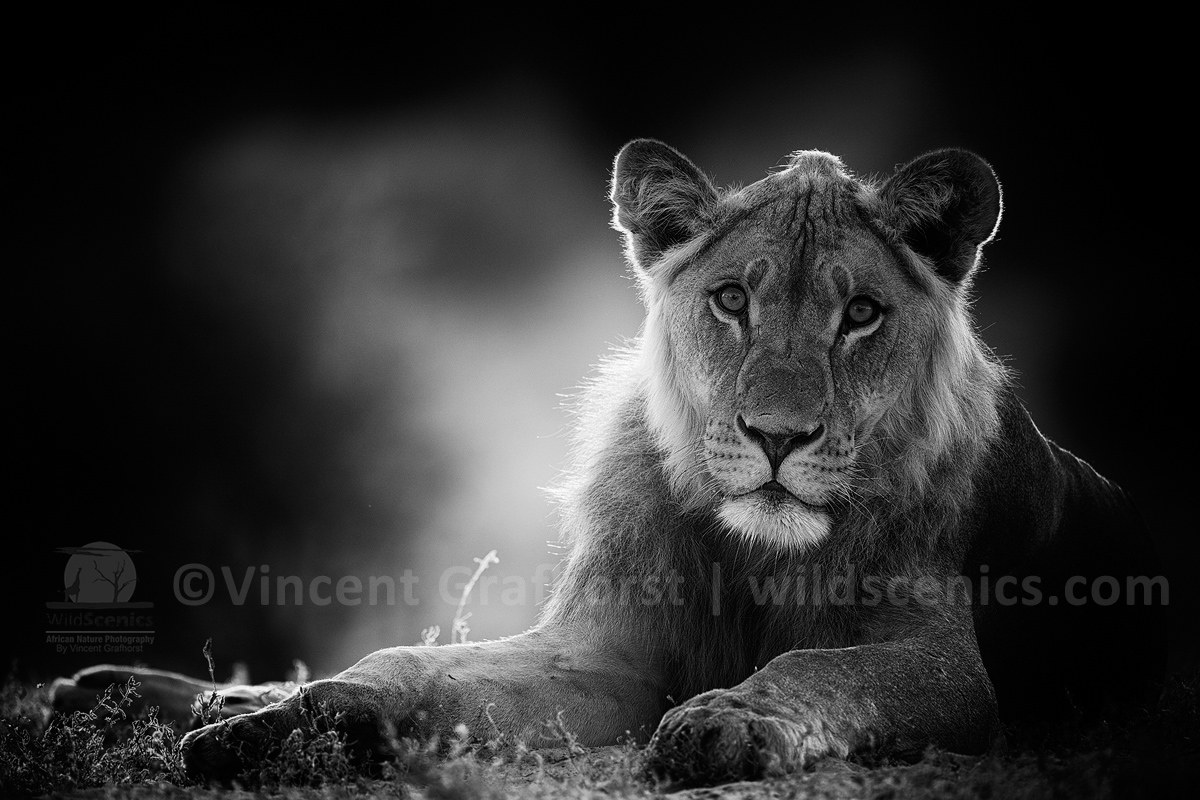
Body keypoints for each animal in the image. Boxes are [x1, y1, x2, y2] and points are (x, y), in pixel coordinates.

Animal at [52, 140, 1167, 787]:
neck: (755, 551)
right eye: (732, 299)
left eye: (861, 315)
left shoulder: (944, 663)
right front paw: (296, 725)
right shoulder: (607, 654)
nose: (778, 437)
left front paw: (726, 719)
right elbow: (408, 666)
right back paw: (151, 697)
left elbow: (821, 662)